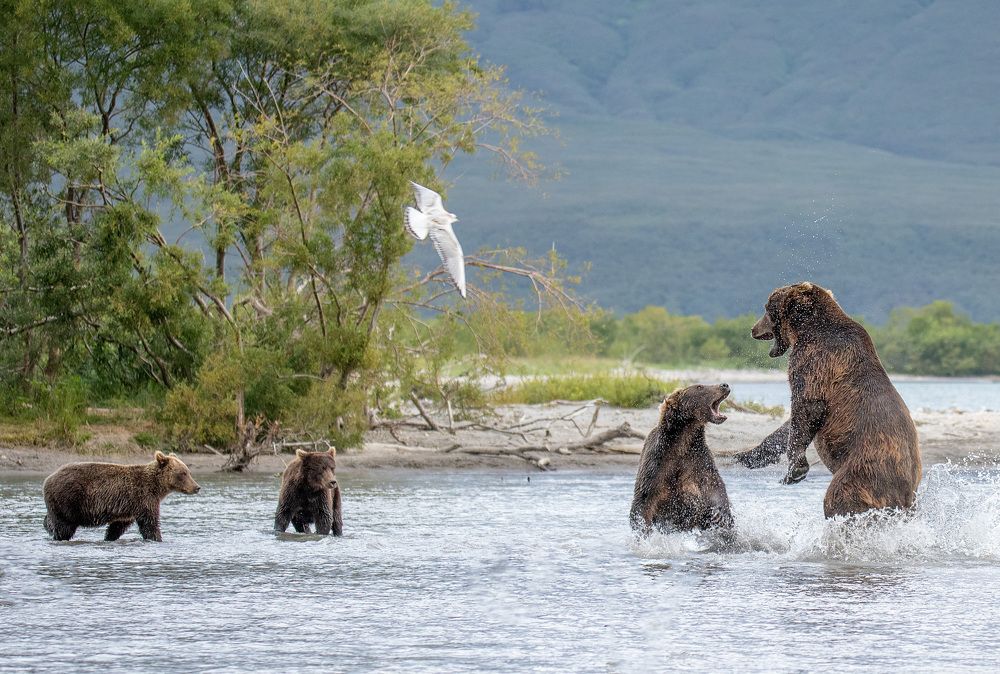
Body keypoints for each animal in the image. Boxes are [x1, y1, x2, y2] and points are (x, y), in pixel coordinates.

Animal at [42, 450, 201, 542]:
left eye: (188, 472)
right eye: (183, 473)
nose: (197, 487)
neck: (157, 488)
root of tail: (47, 479)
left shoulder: (128, 509)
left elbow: (117, 527)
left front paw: (109, 538)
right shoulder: (144, 498)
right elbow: (149, 525)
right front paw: (157, 538)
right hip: (68, 499)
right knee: (64, 527)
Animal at [629, 383, 735, 536]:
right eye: (699, 387)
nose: (724, 385)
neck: (682, 440)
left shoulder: (698, 458)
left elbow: (713, 483)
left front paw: (720, 515)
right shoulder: (657, 462)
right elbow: (643, 499)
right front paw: (643, 531)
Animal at [734, 282, 922, 517]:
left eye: (767, 308)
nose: (753, 329)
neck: (805, 330)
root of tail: (904, 494)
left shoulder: (815, 363)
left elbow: (806, 408)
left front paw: (794, 470)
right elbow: (790, 425)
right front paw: (748, 455)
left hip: (863, 472)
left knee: (838, 498)